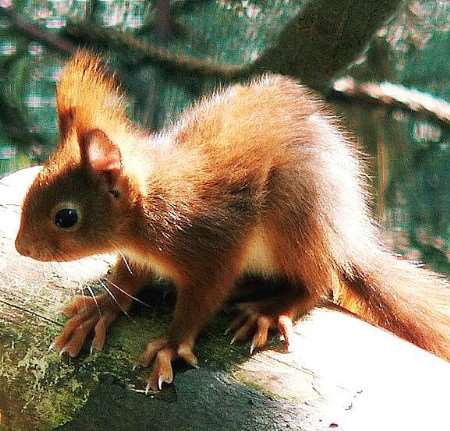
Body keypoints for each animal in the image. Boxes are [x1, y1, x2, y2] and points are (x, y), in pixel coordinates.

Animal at [14, 50, 450, 392]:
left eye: (66, 216)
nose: (21, 247)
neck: (149, 212)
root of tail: (346, 237)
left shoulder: (211, 246)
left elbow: (201, 299)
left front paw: (171, 343)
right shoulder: (138, 256)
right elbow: (127, 279)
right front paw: (102, 307)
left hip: (295, 220)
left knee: (319, 282)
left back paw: (272, 308)